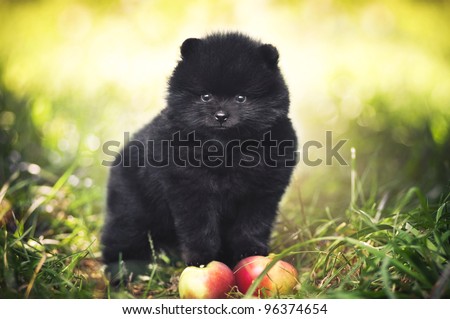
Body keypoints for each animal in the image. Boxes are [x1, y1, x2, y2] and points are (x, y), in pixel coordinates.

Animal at [100, 32, 298, 268]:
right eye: (206, 96)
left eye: (241, 98)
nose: (221, 115)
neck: (225, 150)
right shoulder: (190, 189)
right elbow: (199, 228)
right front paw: (202, 259)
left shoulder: (263, 191)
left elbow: (252, 224)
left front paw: (250, 251)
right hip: (133, 208)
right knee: (122, 235)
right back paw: (124, 267)